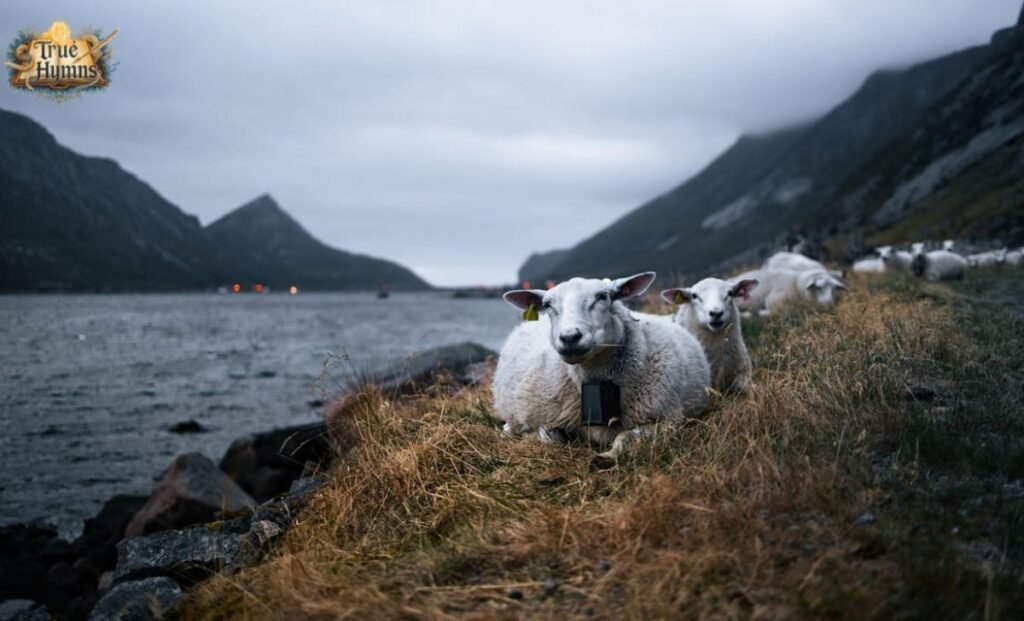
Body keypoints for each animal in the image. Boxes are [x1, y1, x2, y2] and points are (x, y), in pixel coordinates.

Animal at [493, 272, 711, 464]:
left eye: (602, 296)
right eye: (547, 305)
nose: (570, 337)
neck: (595, 379)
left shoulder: (665, 422)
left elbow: (625, 437)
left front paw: (606, 457)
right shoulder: (550, 420)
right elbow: (548, 437)